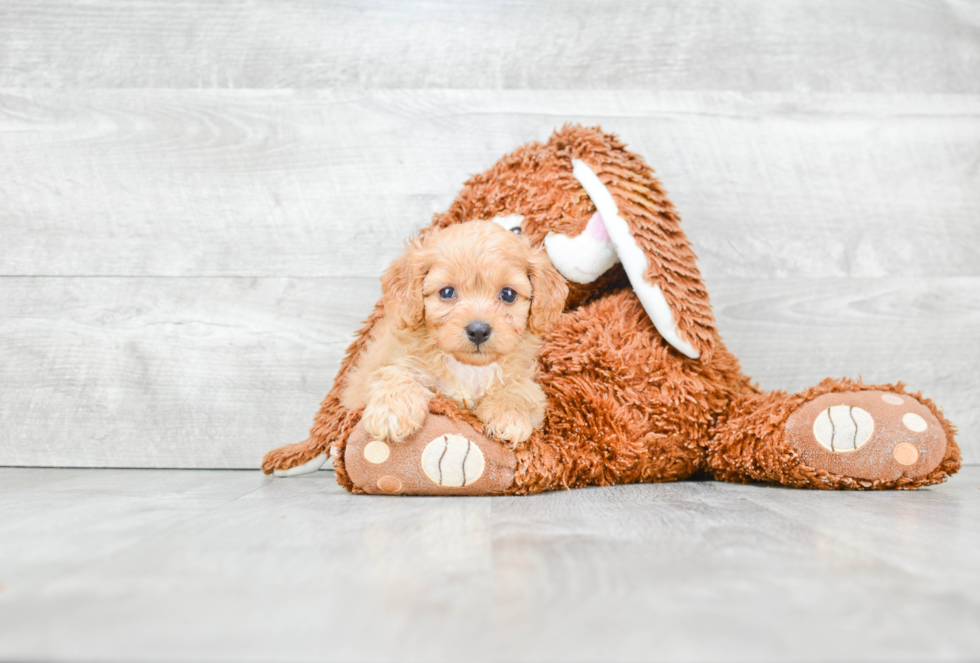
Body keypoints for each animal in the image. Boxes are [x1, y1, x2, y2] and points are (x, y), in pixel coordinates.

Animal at [340, 222, 568, 446]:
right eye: (447, 292)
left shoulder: (527, 384)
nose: (478, 331)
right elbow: (394, 373)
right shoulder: (375, 370)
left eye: (508, 294)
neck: (468, 367)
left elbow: (521, 389)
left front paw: (509, 416)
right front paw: (391, 412)